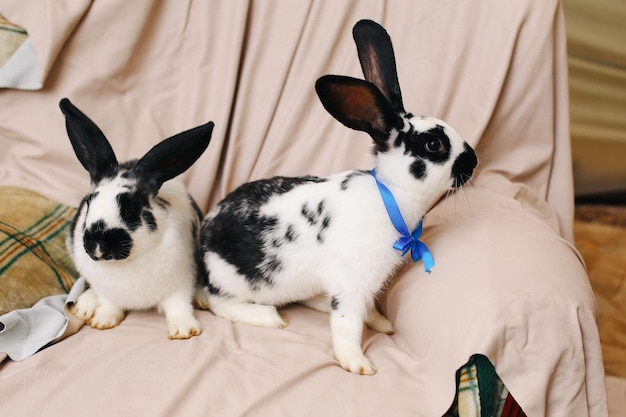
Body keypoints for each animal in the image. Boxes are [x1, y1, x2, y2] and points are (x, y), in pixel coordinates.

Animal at [61, 99, 212, 340]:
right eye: (89, 202)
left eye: (130, 209)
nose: (97, 247)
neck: (124, 263)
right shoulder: (108, 292)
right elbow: (109, 304)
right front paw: (103, 321)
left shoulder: (179, 284)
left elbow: (178, 306)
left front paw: (184, 331)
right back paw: (85, 306)